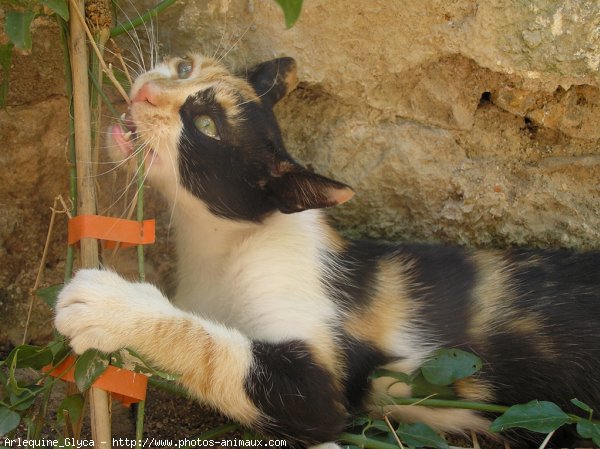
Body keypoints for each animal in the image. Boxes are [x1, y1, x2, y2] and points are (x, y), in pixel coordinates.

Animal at [54, 56, 596, 448]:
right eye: (184, 67)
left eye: (207, 126)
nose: (146, 91)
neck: (224, 245)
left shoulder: (320, 390)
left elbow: (214, 349)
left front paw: (110, 308)